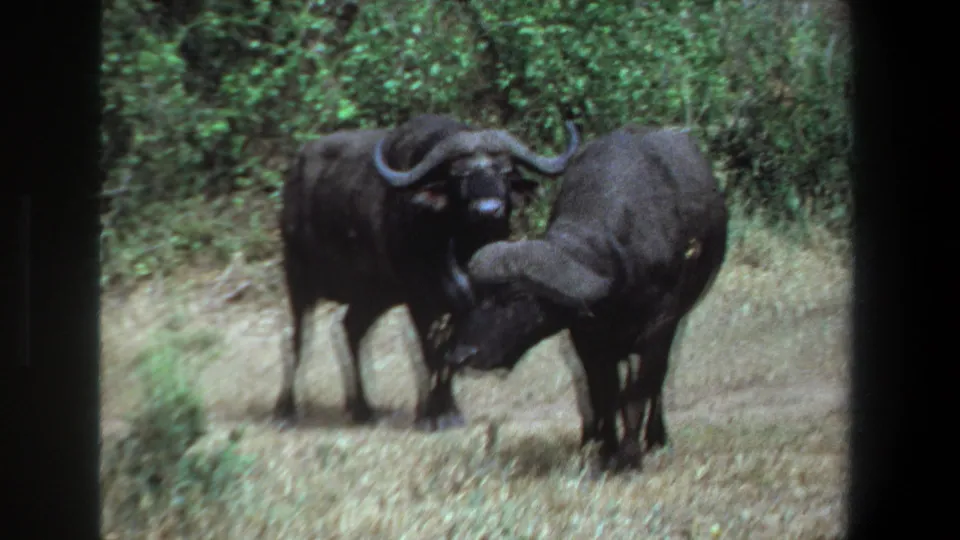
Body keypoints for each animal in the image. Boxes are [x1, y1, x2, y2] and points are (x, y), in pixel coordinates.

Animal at [275, 114, 580, 431]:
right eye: (459, 175)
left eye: (504, 171)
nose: (488, 210)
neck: (459, 248)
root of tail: (294, 174)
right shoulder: (420, 301)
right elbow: (431, 352)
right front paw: (435, 415)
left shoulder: (466, 305)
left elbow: (452, 352)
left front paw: (449, 410)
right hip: (298, 276)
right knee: (297, 337)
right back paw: (287, 410)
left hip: (374, 295)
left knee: (350, 328)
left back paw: (363, 409)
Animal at [444, 124, 729, 470]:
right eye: (475, 295)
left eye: (515, 298)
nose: (460, 355)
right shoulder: (586, 336)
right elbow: (602, 391)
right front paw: (605, 451)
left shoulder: (658, 327)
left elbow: (637, 392)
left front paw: (630, 457)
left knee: (660, 378)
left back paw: (656, 438)